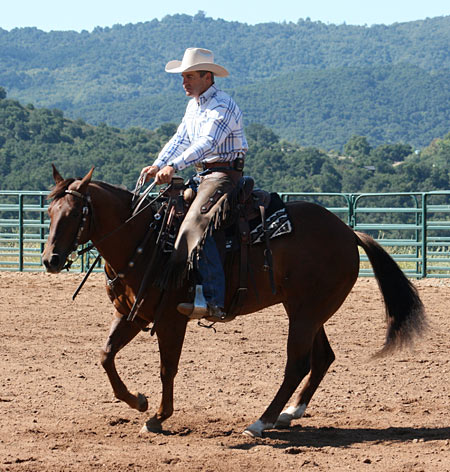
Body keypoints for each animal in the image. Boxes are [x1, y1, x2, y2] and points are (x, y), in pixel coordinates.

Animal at [42, 167, 426, 438]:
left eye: (75, 214)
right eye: (49, 211)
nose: (50, 260)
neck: (146, 240)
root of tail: (348, 232)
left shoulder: (170, 319)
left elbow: (168, 368)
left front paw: (158, 417)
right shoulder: (131, 314)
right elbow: (106, 355)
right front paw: (138, 400)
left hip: (307, 313)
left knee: (297, 364)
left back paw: (261, 421)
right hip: (306, 309)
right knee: (322, 358)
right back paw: (290, 414)